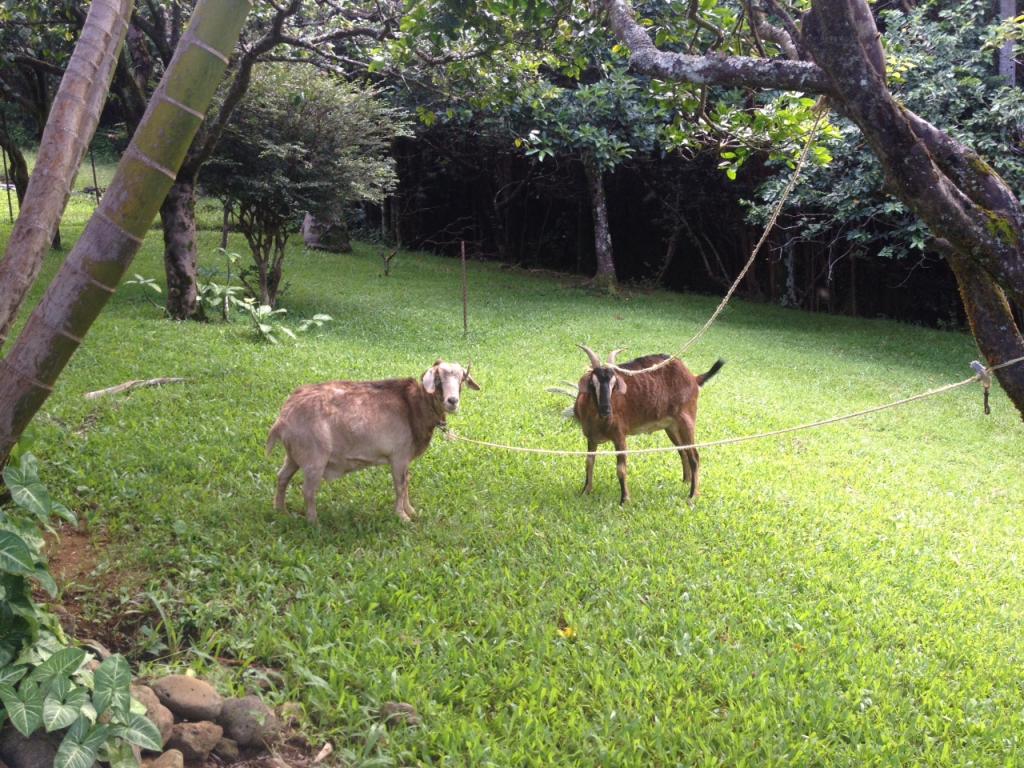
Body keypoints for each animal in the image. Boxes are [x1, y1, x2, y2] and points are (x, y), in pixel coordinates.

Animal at [266, 360, 479, 523]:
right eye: (438, 379)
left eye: (461, 379)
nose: (452, 401)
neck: (413, 406)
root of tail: (283, 418)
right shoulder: (398, 456)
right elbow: (400, 485)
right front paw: (403, 517)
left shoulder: (405, 458)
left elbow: (406, 482)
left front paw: (410, 510)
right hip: (314, 459)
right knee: (308, 490)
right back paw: (314, 522)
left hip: (293, 455)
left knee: (282, 476)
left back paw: (281, 510)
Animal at [574, 345, 724, 503]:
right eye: (592, 383)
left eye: (614, 385)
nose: (606, 409)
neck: (597, 418)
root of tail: (693, 377)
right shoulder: (591, 437)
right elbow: (589, 462)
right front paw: (585, 491)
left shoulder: (619, 435)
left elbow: (621, 469)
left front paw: (624, 500)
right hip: (672, 427)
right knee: (683, 451)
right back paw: (686, 482)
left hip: (687, 420)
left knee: (694, 456)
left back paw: (692, 495)